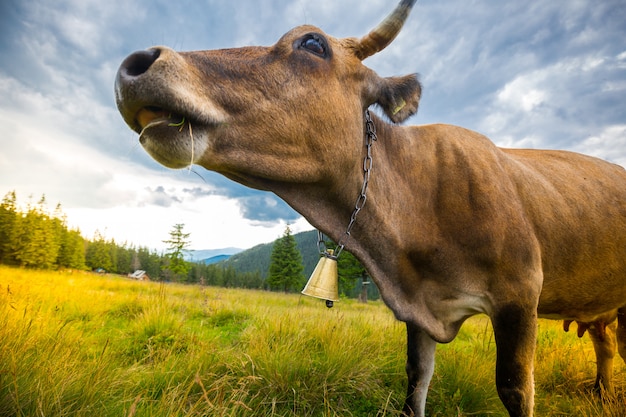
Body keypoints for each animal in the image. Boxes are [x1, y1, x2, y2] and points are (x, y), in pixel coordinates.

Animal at [113, 0, 624, 416]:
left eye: (313, 43)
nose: (136, 64)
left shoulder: (520, 292)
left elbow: (516, 389)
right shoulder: (418, 311)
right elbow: (415, 383)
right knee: (606, 345)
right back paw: (602, 394)